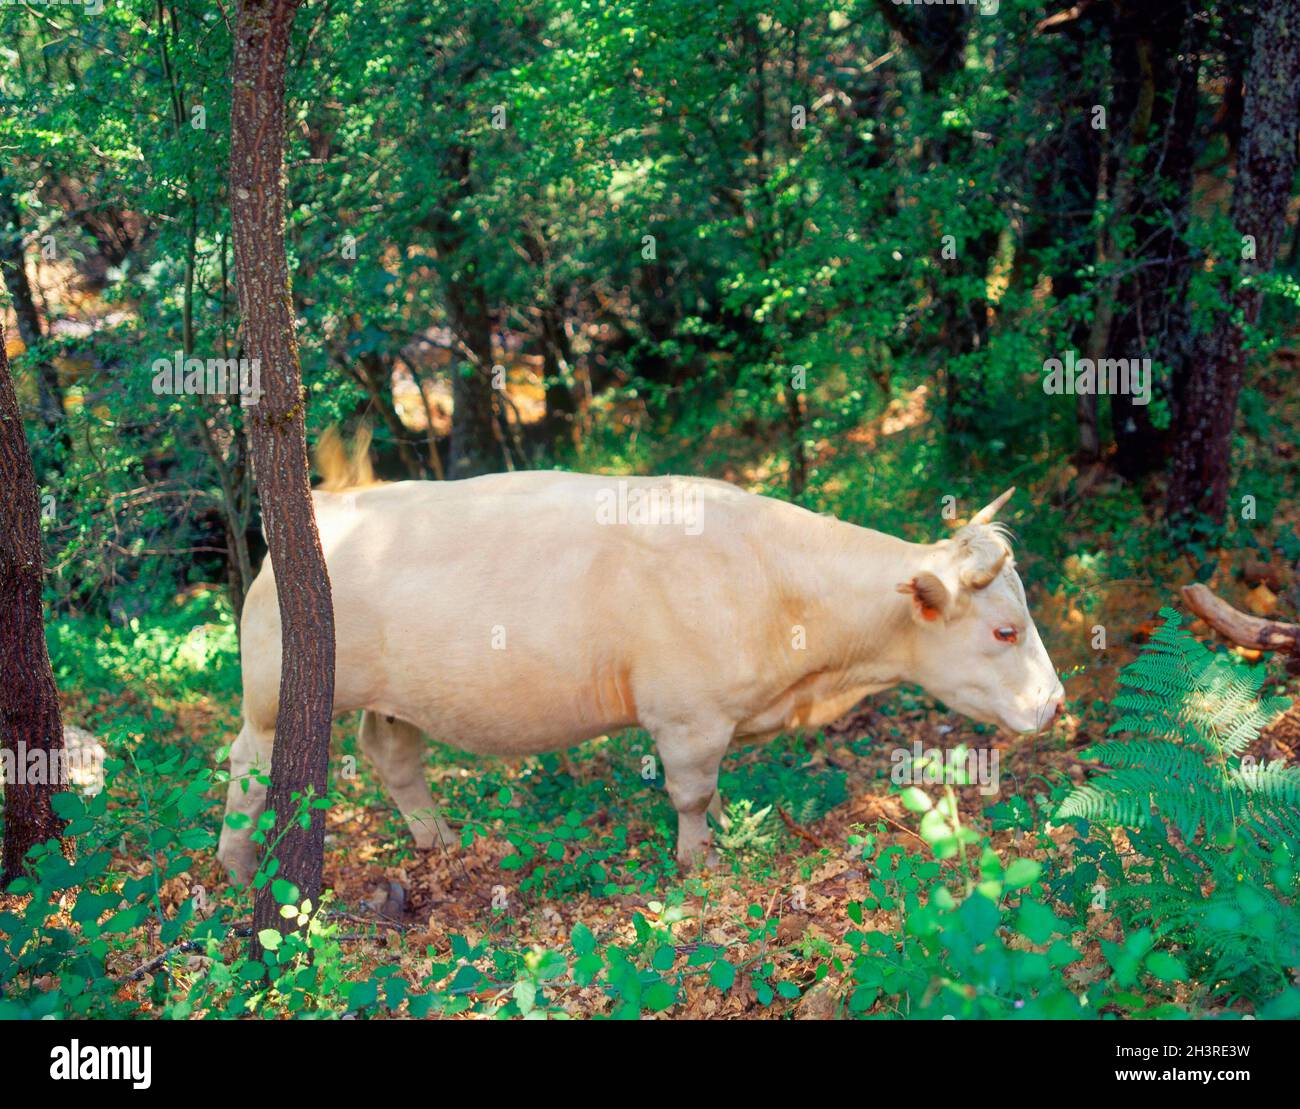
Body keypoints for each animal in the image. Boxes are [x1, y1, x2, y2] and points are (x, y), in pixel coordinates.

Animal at [215, 436, 1066, 878]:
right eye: (1003, 630)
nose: (1057, 702)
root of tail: (330, 504)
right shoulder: (686, 717)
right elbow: (690, 793)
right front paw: (698, 862)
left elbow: (715, 792)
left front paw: (722, 837)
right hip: (271, 698)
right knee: (248, 765)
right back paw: (237, 864)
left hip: (398, 695)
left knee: (393, 754)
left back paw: (440, 842)